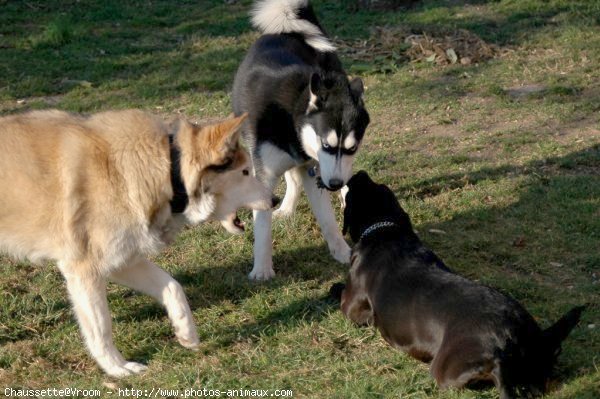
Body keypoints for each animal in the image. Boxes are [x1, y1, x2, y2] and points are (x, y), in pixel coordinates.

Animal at [0, 109, 276, 378]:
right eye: (245, 172)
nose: (275, 200)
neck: (167, 170)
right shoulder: (85, 271)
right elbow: (101, 328)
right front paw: (117, 368)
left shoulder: (122, 261)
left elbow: (173, 287)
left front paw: (186, 333)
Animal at [330, 172, 584, 399]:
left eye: (352, 192)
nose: (359, 173)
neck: (385, 230)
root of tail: (513, 335)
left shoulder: (351, 307)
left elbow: (339, 291)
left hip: (445, 370)